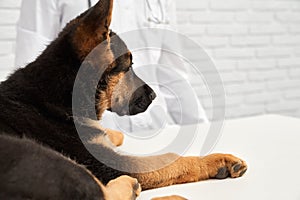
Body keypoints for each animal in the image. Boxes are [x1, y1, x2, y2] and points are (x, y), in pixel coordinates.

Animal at [0, 0, 247, 199]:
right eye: (128, 67)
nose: (154, 95)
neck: (57, 95)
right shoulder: (107, 163)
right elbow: (171, 159)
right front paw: (216, 160)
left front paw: (111, 133)